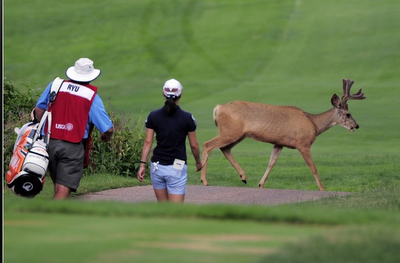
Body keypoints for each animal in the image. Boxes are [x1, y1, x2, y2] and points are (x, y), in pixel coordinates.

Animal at [200, 78, 366, 192]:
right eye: (348, 114)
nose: (356, 126)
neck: (314, 124)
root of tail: (218, 108)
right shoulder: (303, 143)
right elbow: (313, 166)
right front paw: (322, 189)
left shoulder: (279, 143)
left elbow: (271, 163)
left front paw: (260, 184)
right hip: (231, 131)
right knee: (208, 144)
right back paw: (204, 181)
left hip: (238, 134)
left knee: (225, 149)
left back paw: (243, 177)